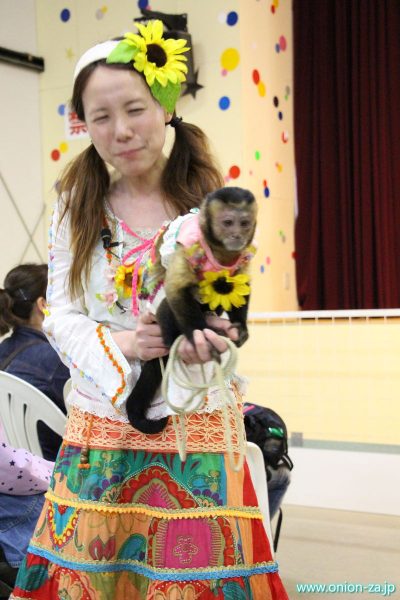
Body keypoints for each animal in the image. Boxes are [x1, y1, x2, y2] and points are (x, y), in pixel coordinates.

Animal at [126, 185, 260, 434]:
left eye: (244, 223)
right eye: (228, 222)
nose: (237, 236)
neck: (219, 251)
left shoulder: (243, 255)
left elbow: (241, 287)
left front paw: (241, 328)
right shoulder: (189, 246)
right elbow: (177, 290)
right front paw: (202, 340)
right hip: (161, 319)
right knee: (170, 305)